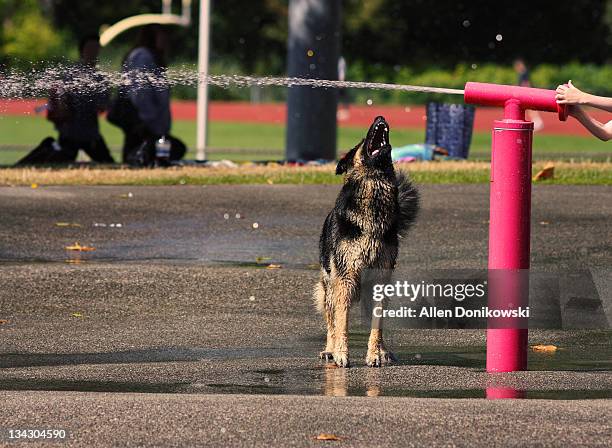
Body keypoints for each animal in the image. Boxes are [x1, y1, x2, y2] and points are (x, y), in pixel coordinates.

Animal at [314, 115, 418, 368]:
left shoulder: (380, 279)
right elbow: (341, 322)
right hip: (329, 286)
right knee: (331, 320)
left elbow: (377, 326)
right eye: (363, 140)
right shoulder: (344, 279)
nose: (379, 117)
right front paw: (341, 353)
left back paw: (384, 350)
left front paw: (376, 354)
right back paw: (329, 349)